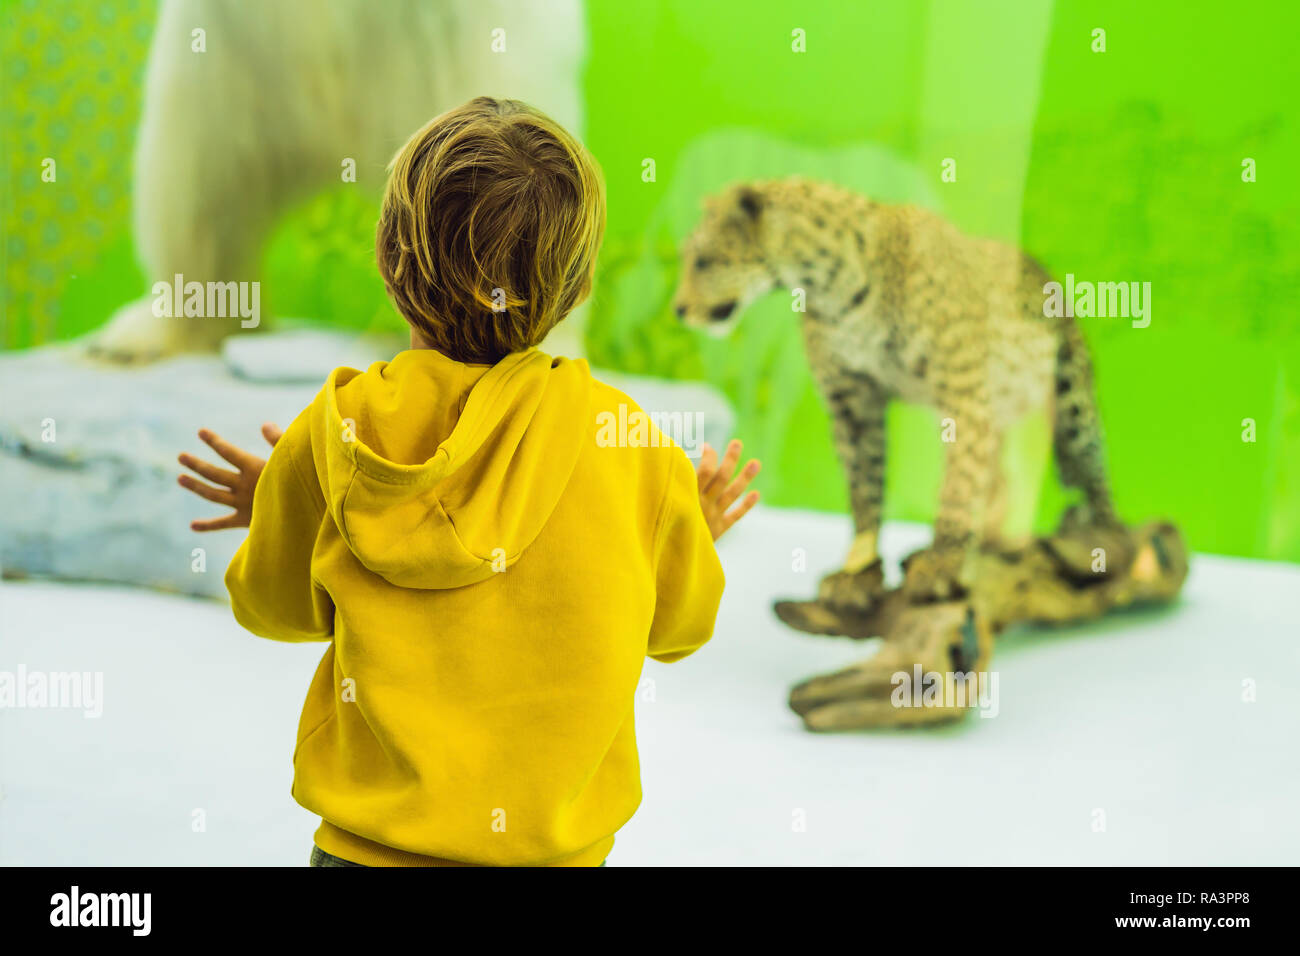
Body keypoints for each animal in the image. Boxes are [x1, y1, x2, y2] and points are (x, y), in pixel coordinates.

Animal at [676, 175, 1123, 600]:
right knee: (1002, 477)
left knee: (1094, 477)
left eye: (702, 261)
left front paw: (942, 563)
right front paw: (858, 569)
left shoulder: (962, 394)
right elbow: (864, 486)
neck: (831, 288)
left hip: (1072, 401)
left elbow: (959, 482)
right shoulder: (852, 402)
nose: (678, 310)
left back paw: (1103, 545)